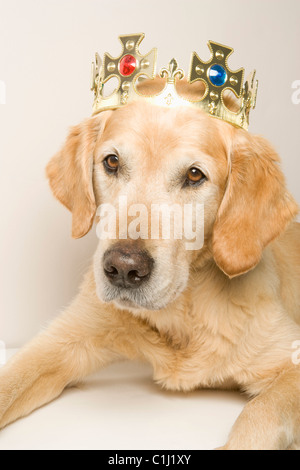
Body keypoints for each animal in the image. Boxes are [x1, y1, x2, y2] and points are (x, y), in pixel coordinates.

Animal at [0, 78, 300, 452]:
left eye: (194, 175)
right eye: (112, 162)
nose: (123, 269)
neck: (183, 312)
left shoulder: (291, 363)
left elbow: (259, 413)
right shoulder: (60, 342)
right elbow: (9, 381)